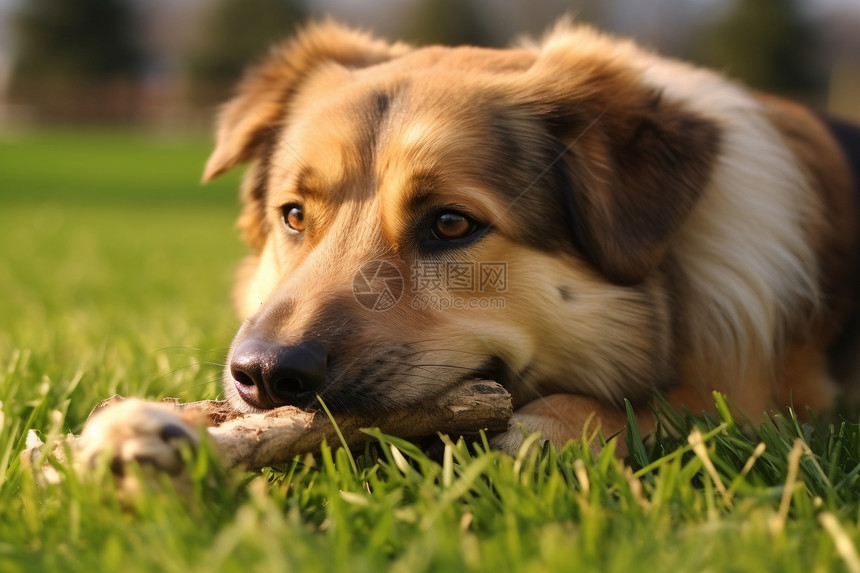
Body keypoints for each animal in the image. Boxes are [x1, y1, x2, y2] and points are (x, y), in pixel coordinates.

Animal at [69, 20, 860, 470]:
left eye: (451, 224)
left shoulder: (772, 402)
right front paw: (146, 424)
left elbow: (657, 412)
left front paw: (562, 424)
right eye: (293, 216)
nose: (263, 374)